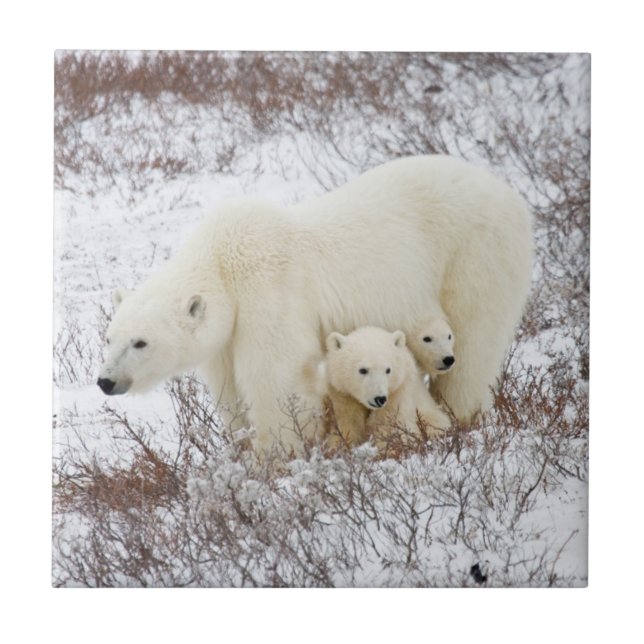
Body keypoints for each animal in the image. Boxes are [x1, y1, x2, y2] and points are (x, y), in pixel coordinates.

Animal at [320, 326, 450, 449]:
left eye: (388, 370)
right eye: (363, 370)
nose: (380, 399)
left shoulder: (397, 393)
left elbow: (390, 427)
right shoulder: (343, 394)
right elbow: (347, 424)